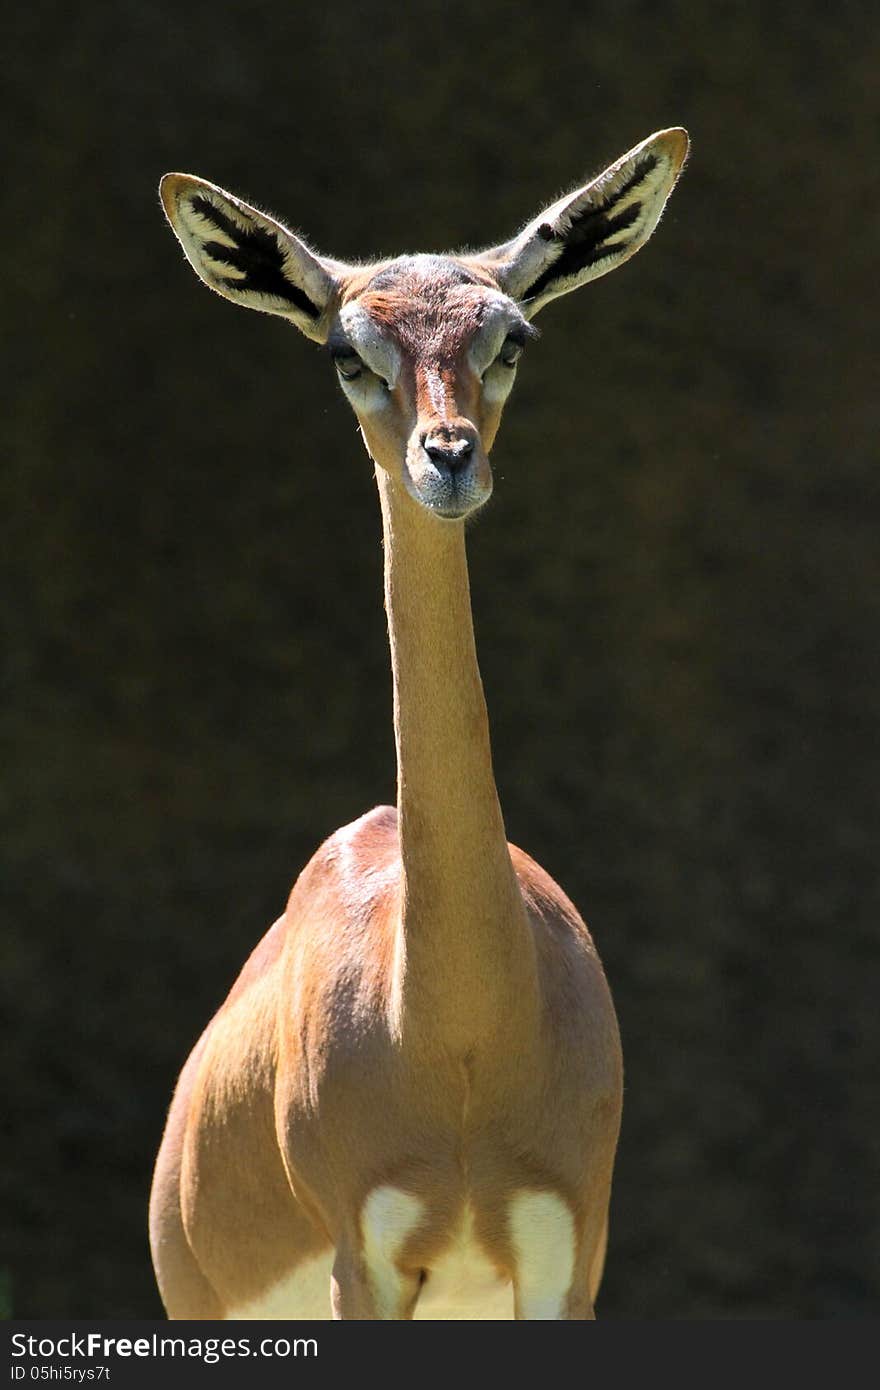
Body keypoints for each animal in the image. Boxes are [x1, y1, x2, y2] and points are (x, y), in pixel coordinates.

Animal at [147, 130, 689, 1323]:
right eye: (348, 351)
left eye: (509, 335)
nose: (447, 457)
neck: (459, 1036)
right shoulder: (367, 1267)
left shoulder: (567, 1262)